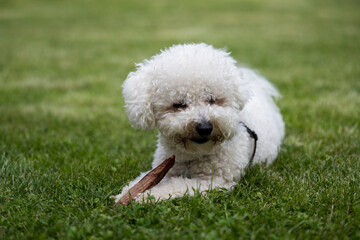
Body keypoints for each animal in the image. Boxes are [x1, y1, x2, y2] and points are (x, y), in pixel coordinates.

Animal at [112, 43, 284, 202]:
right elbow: (143, 180)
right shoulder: (165, 167)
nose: (205, 127)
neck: (193, 155)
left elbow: (175, 185)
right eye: (179, 104)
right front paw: (127, 192)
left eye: (212, 99)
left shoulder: (213, 182)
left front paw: (145, 196)